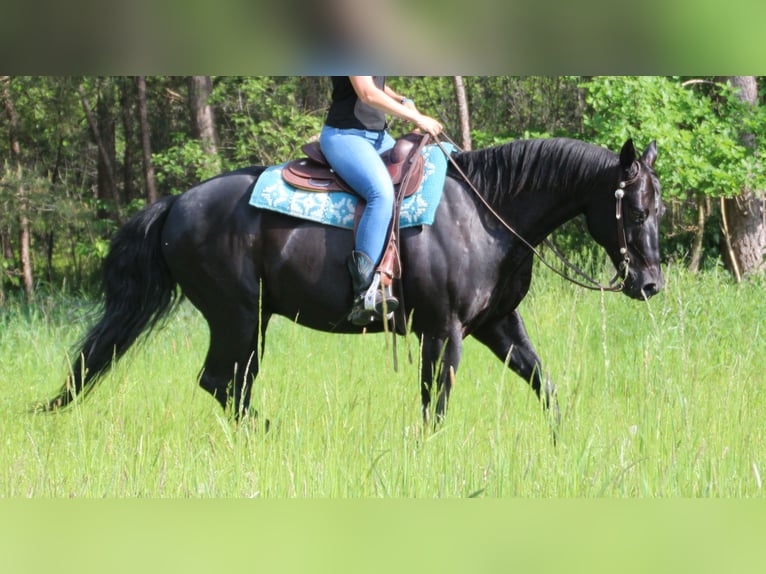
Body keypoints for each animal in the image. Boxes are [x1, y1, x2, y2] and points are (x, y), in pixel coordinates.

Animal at [42, 137, 663, 426]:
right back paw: (272, 435)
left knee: (232, 385)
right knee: (222, 382)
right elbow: (434, 404)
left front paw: (564, 442)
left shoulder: (498, 324)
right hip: (236, 316)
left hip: (249, 321)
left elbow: (543, 384)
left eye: (658, 209)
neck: (486, 213)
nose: (652, 284)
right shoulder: (442, 332)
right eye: (634, 211)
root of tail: (175, 204)